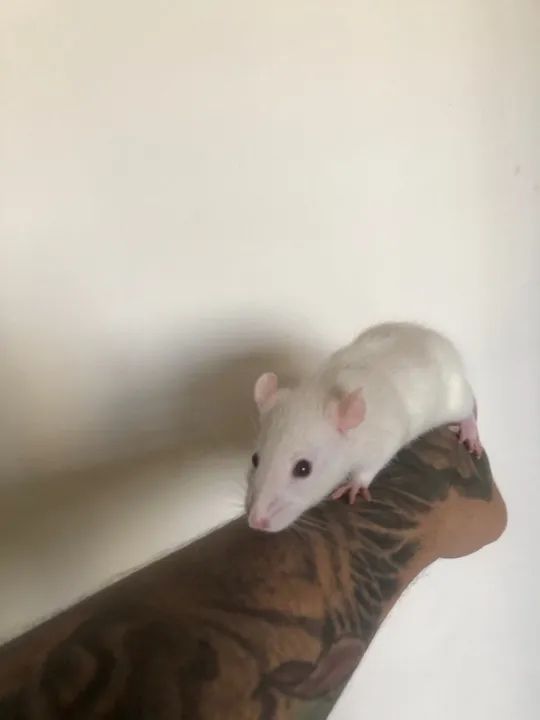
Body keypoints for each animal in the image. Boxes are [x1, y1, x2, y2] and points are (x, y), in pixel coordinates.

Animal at [245, 321, 482, 532]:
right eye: (255, 459)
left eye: (303, 468)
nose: (256, 521)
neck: (321, 394)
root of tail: (443, 344)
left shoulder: (380, 435)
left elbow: (376, 459)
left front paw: (356, 483)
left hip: (453, 396)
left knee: (467, 407)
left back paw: (469, 429)